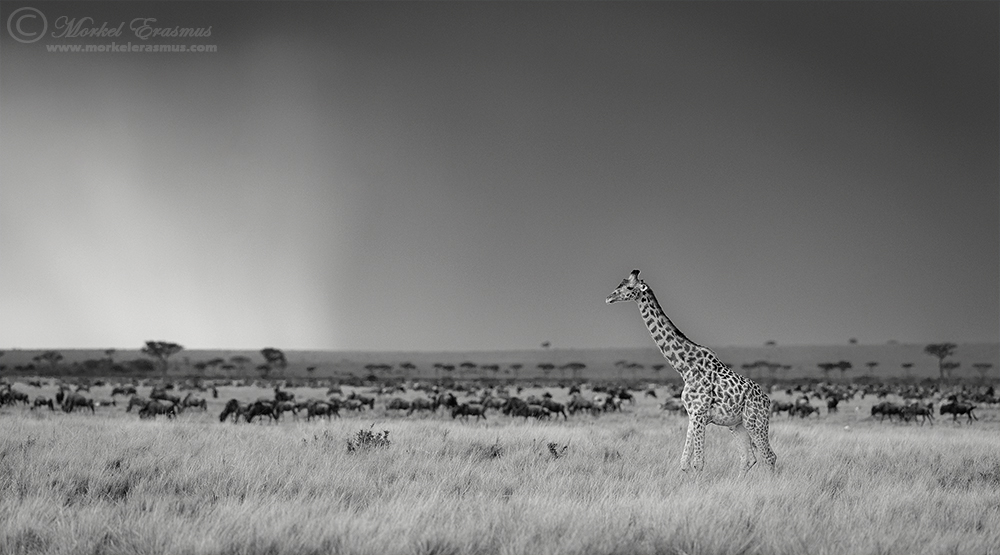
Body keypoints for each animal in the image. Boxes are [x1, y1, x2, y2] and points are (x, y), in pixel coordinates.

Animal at [606, 269, 776, 475]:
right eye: (619, 284)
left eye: (629, 287)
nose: (609, 298)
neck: (685, 367)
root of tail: (767, 400)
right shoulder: (692, 415)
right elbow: (684, 463)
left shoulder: (700, 414)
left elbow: (698, 463)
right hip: (737, 424)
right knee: (748, 458)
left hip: (755, 421)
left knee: (769, 457)